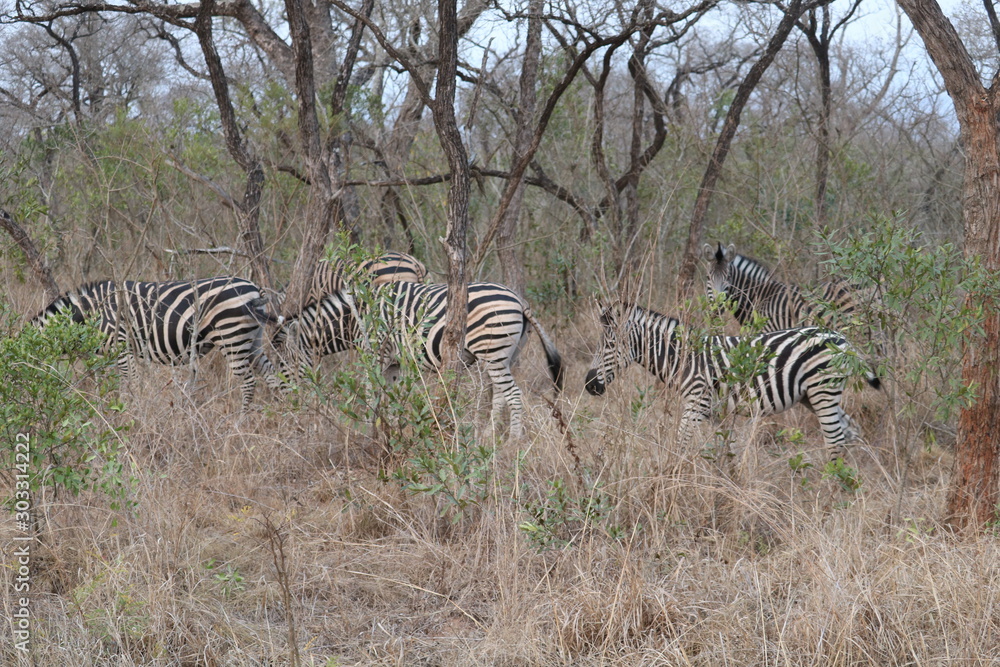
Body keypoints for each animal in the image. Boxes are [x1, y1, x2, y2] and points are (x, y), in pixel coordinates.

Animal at [31, 277, 285, 410]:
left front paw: (131, 413)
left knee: (249, 382)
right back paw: (281, 412)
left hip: (231, 336)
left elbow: (130, 382)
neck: (90, 314)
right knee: (272, 375)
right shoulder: (110, 354)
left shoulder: (121, 344)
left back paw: (241, 421)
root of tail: (256, 289)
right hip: (252, 339)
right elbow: (108, 384)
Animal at [277, 281, 564, 437]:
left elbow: (372, 392)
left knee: (513, 394)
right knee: (501, 395)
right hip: (506, 354)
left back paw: (512, 442)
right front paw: (390, 428)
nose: (288, 406)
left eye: (284, 365)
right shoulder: (392, 360)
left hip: (492, 349)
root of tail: (519, 299)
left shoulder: (376, 351)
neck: (354, 318)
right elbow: (389, 395)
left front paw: (369, 430)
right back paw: (488, 436)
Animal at [584, 301, 880, 459]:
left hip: (822, 391)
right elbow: (722, 450)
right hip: (813, 395)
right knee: (850, 431)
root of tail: (840, 337)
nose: (589, 385)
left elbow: (681, 445)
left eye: (609, 345)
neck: (682, 359)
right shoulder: (716, 412)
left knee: (835, 439)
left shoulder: (697, 403)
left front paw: (672, 480)